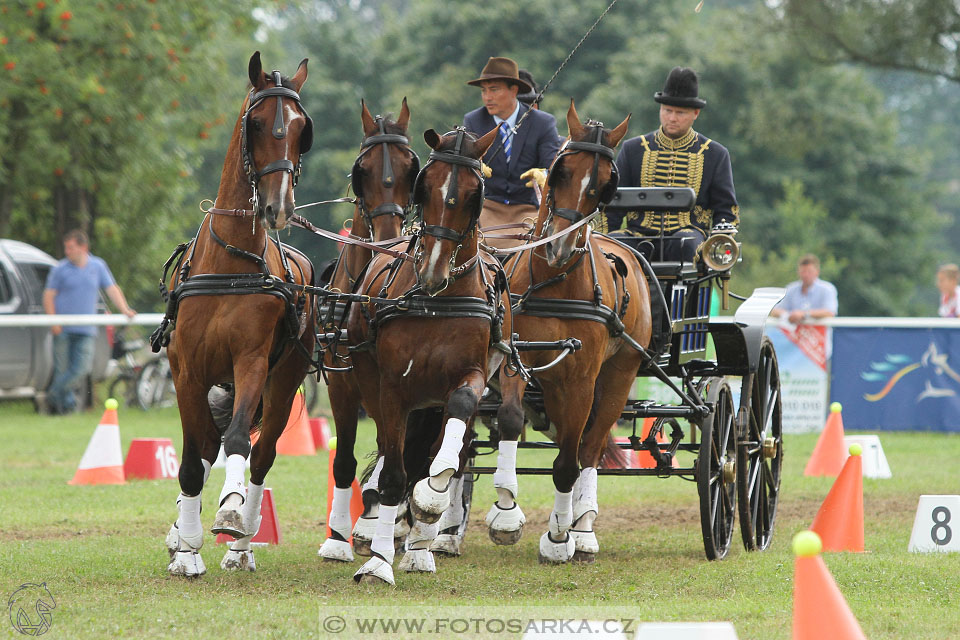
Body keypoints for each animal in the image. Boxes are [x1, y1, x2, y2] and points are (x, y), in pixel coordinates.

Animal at [158, 52, 316, 576]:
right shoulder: (185, 369)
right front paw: (186, 547)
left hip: (283, 381)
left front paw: (229, 512)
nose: (278, 207)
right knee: (208, 444)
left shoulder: (251, 363)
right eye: (258, 123)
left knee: (260, 452)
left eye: (302, 128)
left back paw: (243, 540)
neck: (229, 264)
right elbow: (194, 457)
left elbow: (237, 442)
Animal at [346, 126, 506, 584]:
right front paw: (378, 561)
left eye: (474, 194)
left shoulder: (471, 376)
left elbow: (450, 438)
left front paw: (431, 499)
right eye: (426, 184)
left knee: (448, 449)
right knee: (392, 453)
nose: (432, 270)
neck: (439, 302)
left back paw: (422, 542)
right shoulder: (394, 390)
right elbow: (394, 475)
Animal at [488, 104, 652, 564]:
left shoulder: (580, 379)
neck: (554, 282)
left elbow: (568, 462)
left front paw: (560, 536)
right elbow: (510, 419)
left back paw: (583, 527)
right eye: (560, 171)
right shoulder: (517, 358)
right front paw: (506, 513)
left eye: (604, 185)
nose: (558, 248)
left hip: (617, 377)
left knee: (589, 447)